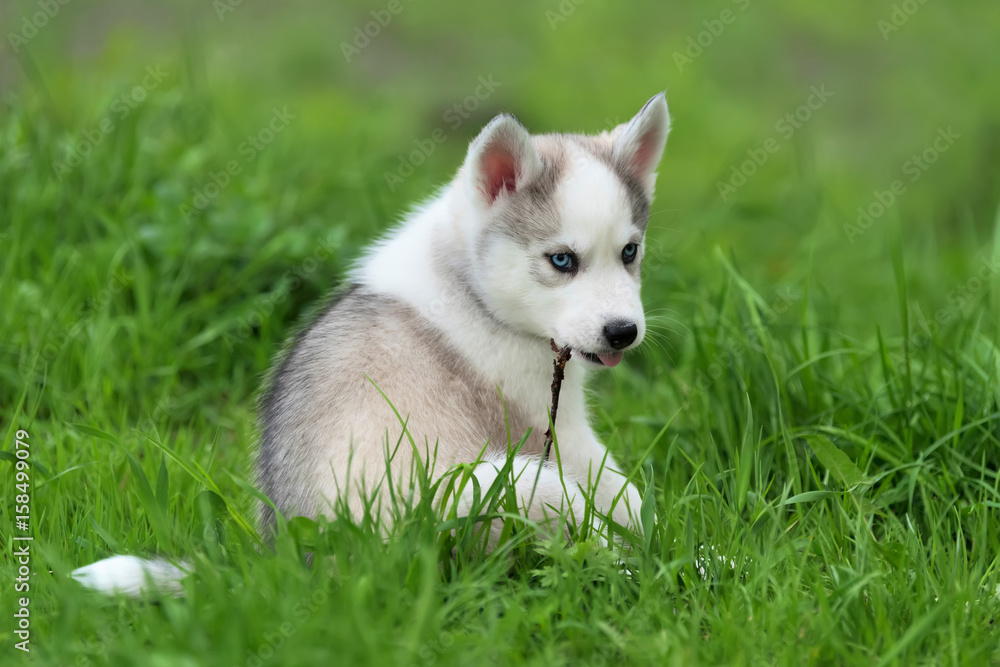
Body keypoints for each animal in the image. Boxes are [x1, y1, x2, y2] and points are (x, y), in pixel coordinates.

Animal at [256, 94, 672, 544]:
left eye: (629, 251)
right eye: (562, 260)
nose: (623, 332)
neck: (470, 289)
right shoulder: (556, 425)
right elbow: (621, 490)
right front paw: (676, 545)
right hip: (514, 482)